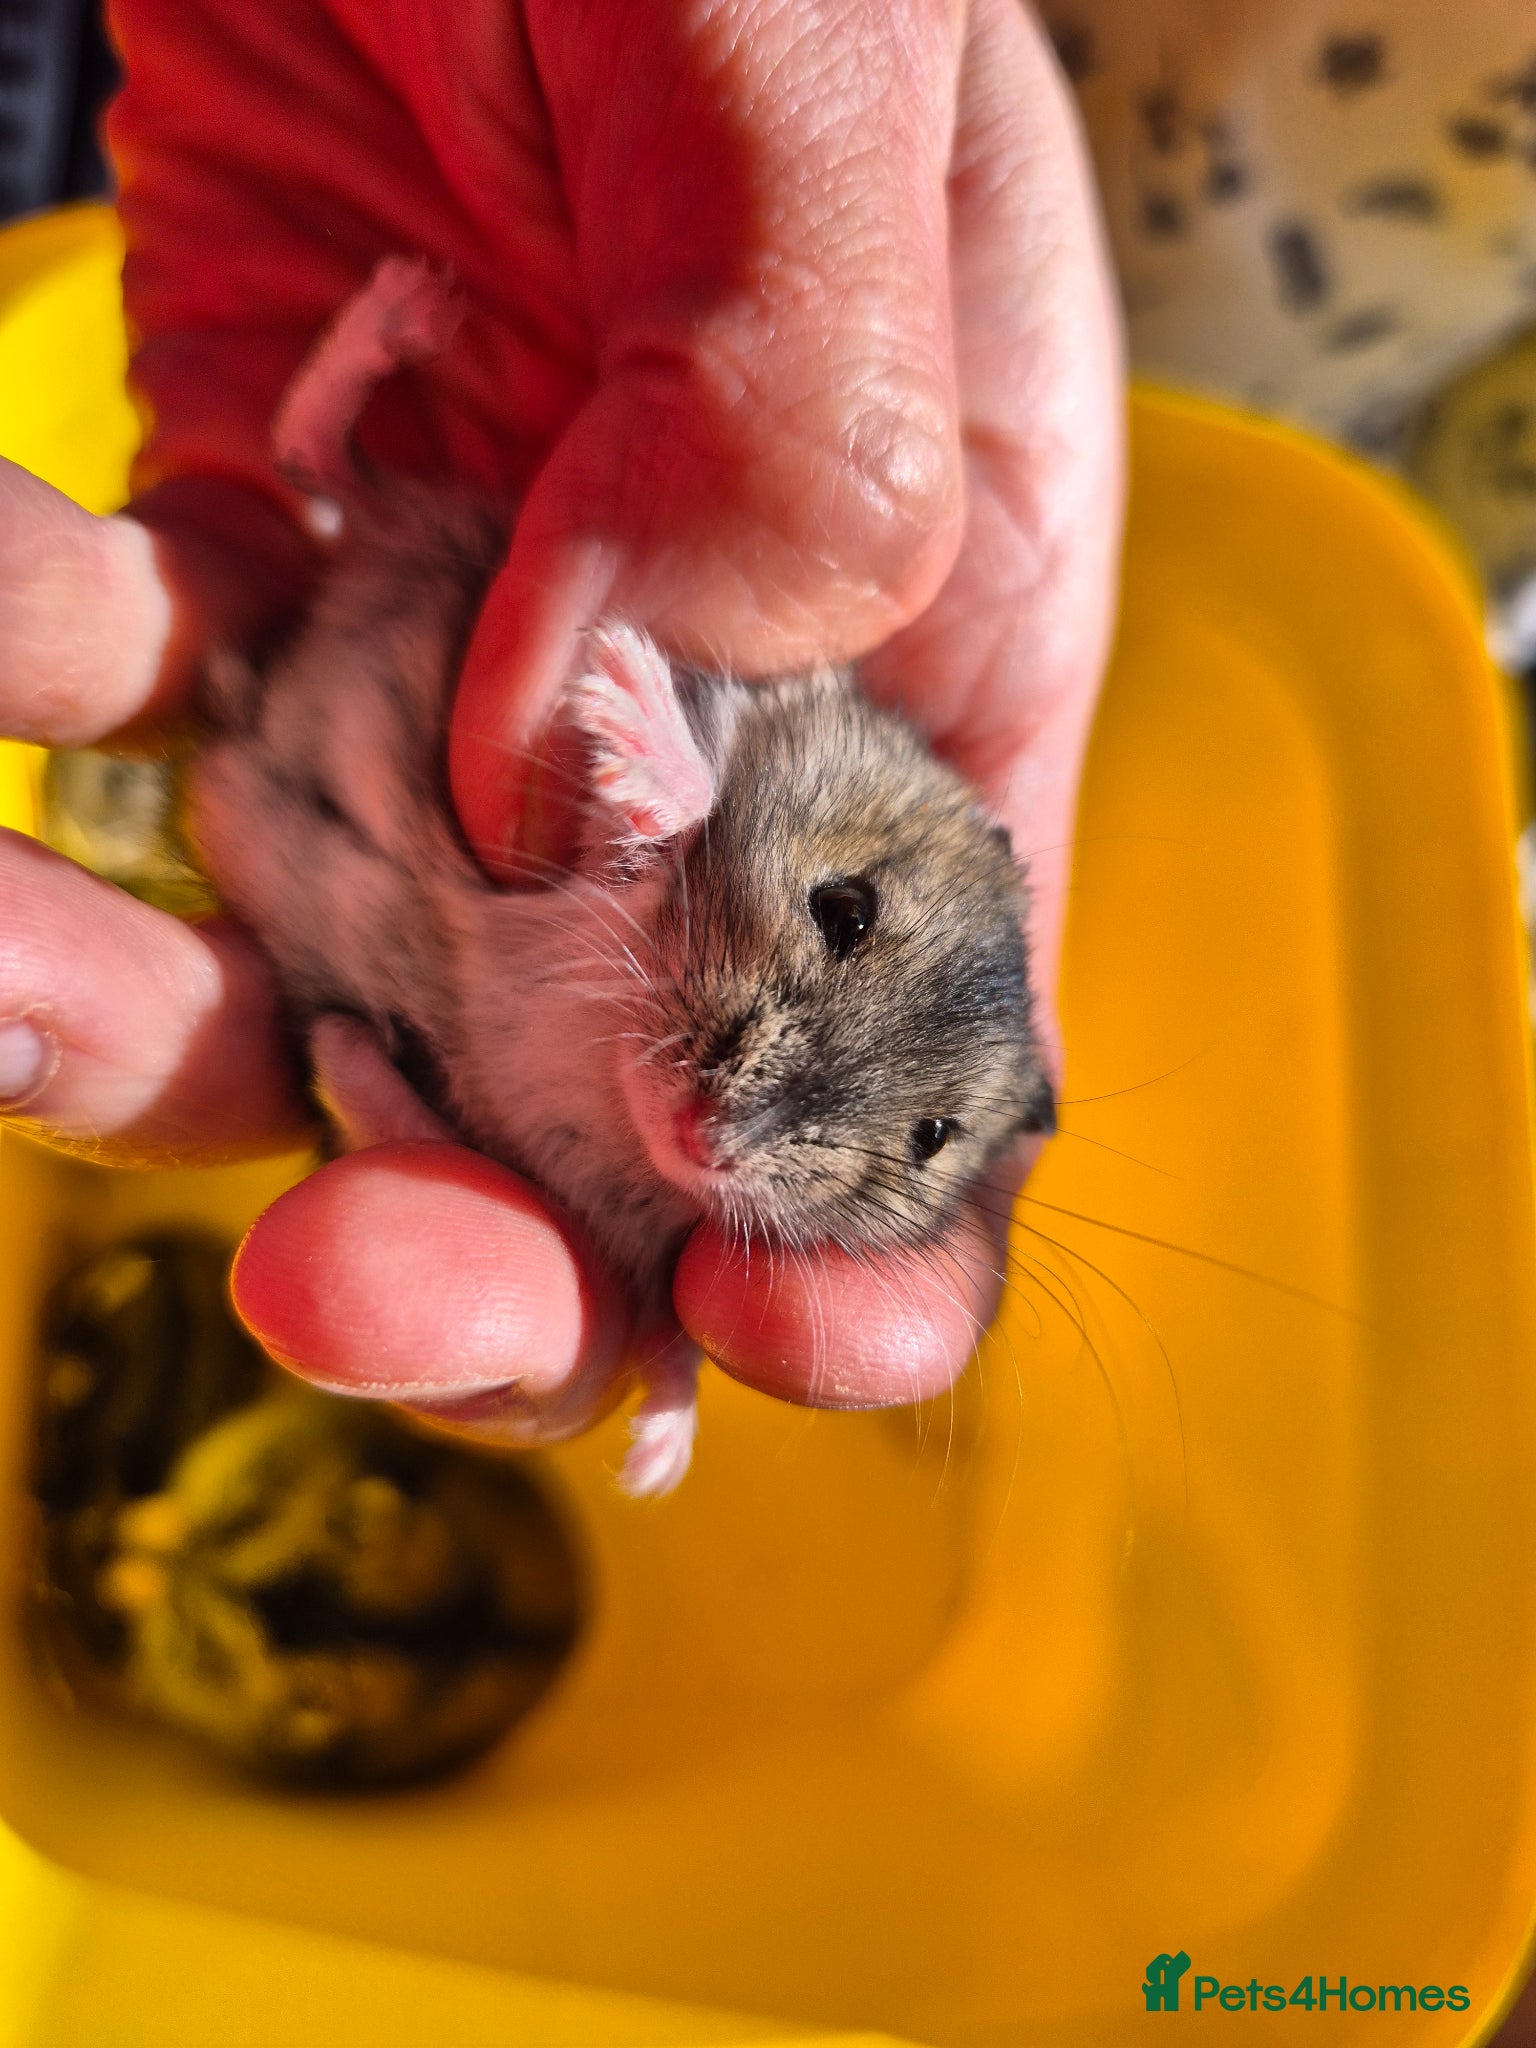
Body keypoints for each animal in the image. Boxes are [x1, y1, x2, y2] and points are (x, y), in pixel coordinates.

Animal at [187, 260, 1056, 1496]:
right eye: (843, 909)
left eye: (931, 1136)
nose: (708, 1137)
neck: (610, 1077)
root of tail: (242, 724)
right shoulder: (562, 852)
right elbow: (658, 811)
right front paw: (625, 684)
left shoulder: (648, 1258)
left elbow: (670, 1337)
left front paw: (654, 1464)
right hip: (439, 546)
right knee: (319, 470)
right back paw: (414, 305)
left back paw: (359, 1056)